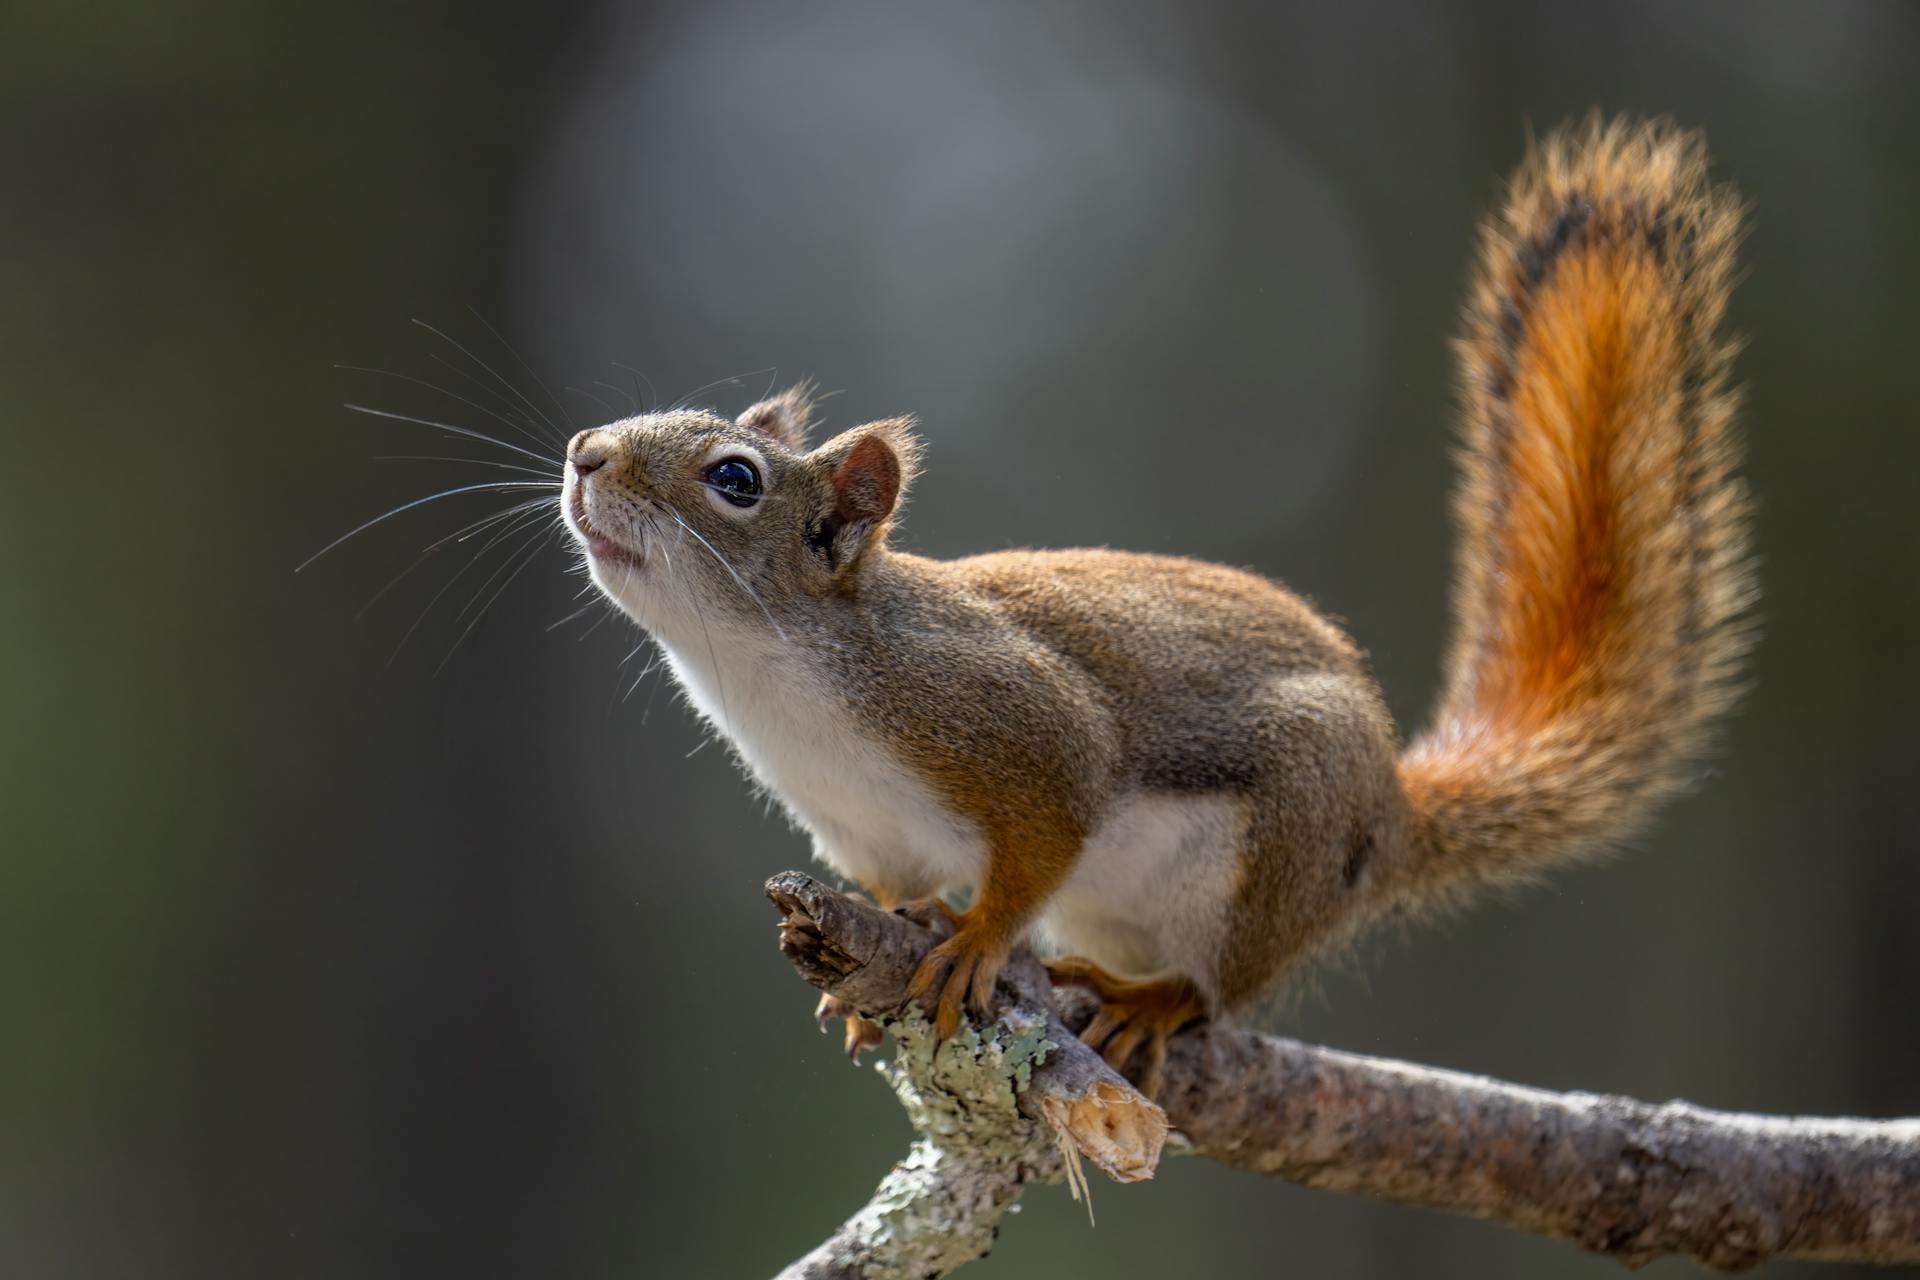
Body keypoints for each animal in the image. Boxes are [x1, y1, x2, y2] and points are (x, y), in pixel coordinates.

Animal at [556, 117, 1758, 1090]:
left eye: (736, 479)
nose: (584, 452)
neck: (773, 678)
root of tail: (1390, 814)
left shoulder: (1009, 720)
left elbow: (1049, 821)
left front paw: (978, 940)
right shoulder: (863, 834)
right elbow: (896, 892)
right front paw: (888, 961)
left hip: (1281, 843)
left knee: (1224, 987)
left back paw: (1155, 998)